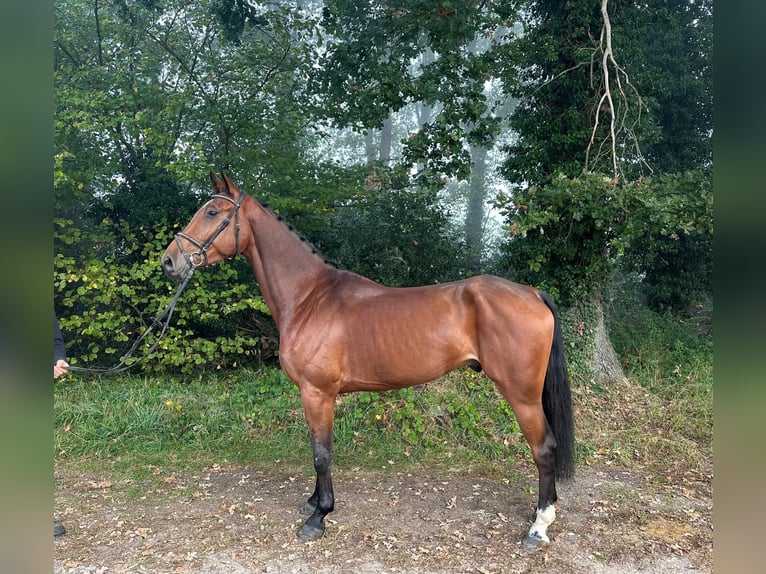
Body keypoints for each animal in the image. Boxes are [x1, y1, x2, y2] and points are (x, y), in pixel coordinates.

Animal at [161, 172, 575, 548]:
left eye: (212, 212)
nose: (169, 261)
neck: (309, 298)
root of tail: (532, 293)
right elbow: (317, 450)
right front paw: (313, 502)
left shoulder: (317, 393)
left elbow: (322, 455)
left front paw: (319, 516)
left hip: (521, 395)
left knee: (544, 449)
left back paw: (538, 528)